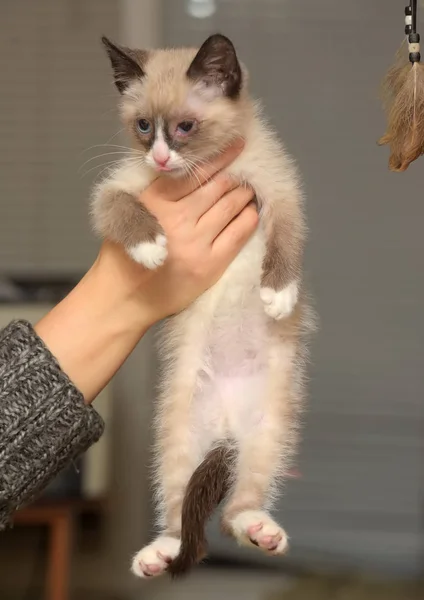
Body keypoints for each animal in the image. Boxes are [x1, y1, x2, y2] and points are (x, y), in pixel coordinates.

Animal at [92, 31, 312, 576]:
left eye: (185, 127)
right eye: (143, 127)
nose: (160, 159)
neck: (195, 173)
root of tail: (226, 428)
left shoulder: (281, 191)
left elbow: (286, 242)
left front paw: (279, 295)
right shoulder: (118, 187)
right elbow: (122, 208)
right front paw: (152, 247)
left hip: (269, 433)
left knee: (236, 511)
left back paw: (259, 529)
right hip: (178, 436)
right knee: (179, 511)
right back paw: (157, 555)